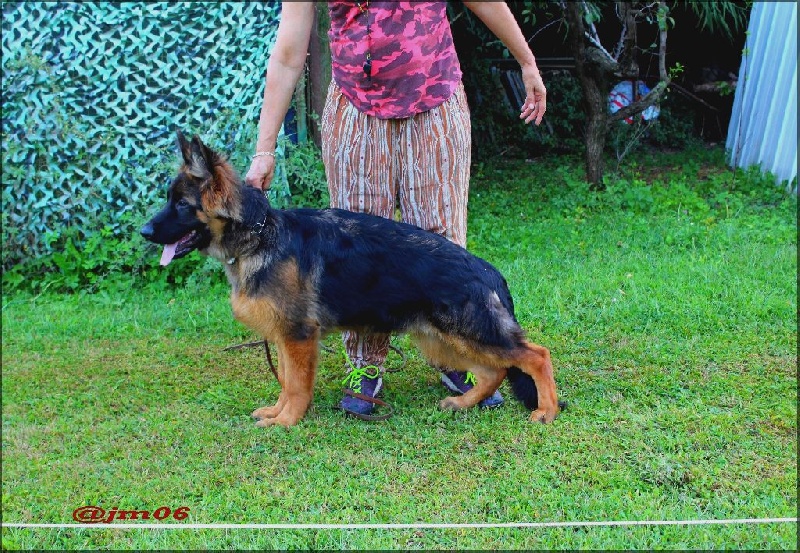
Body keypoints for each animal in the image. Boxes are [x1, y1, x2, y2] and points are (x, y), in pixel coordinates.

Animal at [141, 134, 560, 426]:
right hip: (440, 339)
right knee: (494, 371)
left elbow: (296, 385)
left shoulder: (298, 338)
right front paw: (277, 412)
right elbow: (286, 382)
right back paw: (463, 402)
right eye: (169, 200)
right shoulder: (286, 338)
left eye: (181, 204)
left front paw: (287, 421)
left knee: (536, 356)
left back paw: (547, 411)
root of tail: (488, 271)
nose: (144, 232)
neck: (260, 233)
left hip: (468, 333)